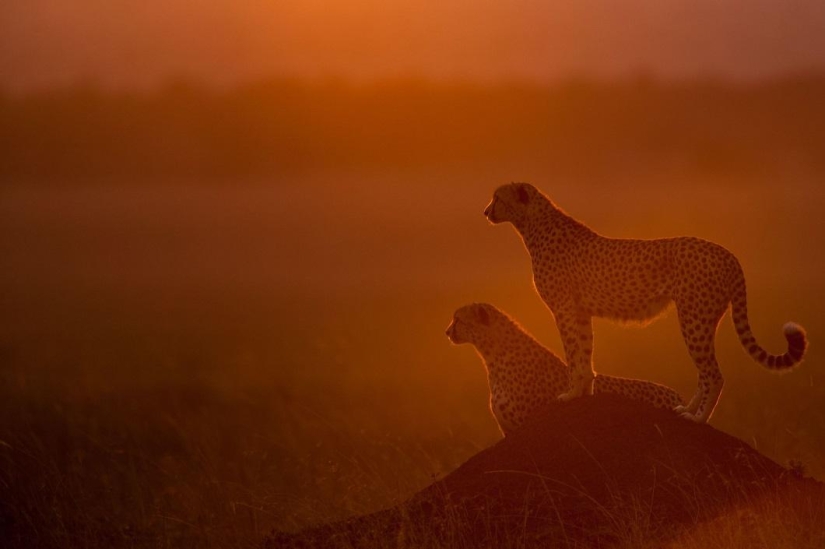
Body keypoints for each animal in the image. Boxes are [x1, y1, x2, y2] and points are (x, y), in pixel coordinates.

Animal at [480, 182, 808, 422]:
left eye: (497, 197)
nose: (485, 211)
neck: (532, 224)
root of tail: (728, 254)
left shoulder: (564, 309)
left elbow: (573, 352)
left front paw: (571, 394)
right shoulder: (580, 311)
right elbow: (584, 351)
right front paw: (584, 392)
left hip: (693, 319)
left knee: (713, 374)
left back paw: (698, 418)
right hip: (702, 319)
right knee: (706, 373)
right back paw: (687, 410)